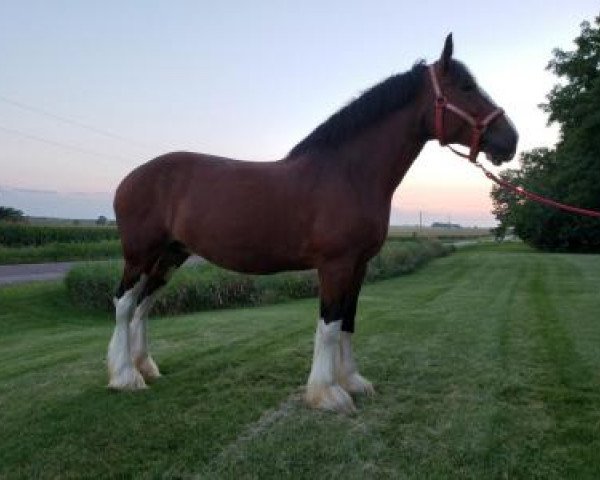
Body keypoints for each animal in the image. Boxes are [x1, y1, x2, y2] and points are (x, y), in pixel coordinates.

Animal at [109, 35, 520, 414]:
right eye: (465, 87)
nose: (511, 139)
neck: (348, 173)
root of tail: (130, 178)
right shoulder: (335, 265)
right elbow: (329, 325)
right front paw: (327, 393)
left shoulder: (359, 265)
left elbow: (348, 321)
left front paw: (352, 380)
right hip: (140, 255)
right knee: (124, 303)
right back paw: (125, 376)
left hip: (170, 256)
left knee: (144, 305)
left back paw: (145, 367)